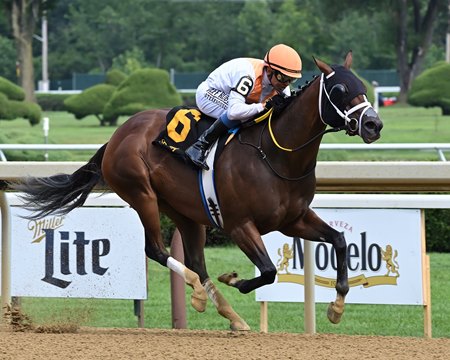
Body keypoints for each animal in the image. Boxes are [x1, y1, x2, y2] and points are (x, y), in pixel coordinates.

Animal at [12, 51, 382, 332]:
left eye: (362, 85)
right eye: (339, 88)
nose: (373, 124)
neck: (277, 154)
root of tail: (117, 136)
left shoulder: (294, 218)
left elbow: (339, 240)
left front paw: (336, 307)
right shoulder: (239, 224)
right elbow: (268, 271)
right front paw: (235, 279)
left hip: (186, 213)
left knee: (196, 263)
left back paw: (227, 313)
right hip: (142, 195)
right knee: (158, 250)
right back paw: (199, 291)